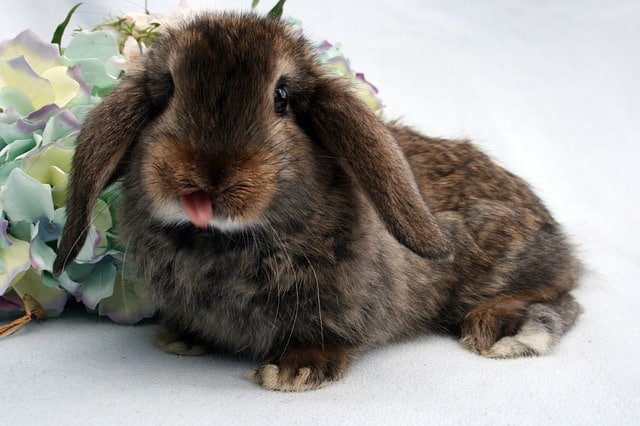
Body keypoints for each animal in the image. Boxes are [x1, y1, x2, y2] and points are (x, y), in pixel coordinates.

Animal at [52, 12, 584, 392]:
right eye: (166, 93)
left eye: (282, 97)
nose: (204, 179)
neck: (223, 243)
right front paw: (181, 338)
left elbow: (327, 337)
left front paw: (293, 373)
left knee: (562, 297)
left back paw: (502, 331)